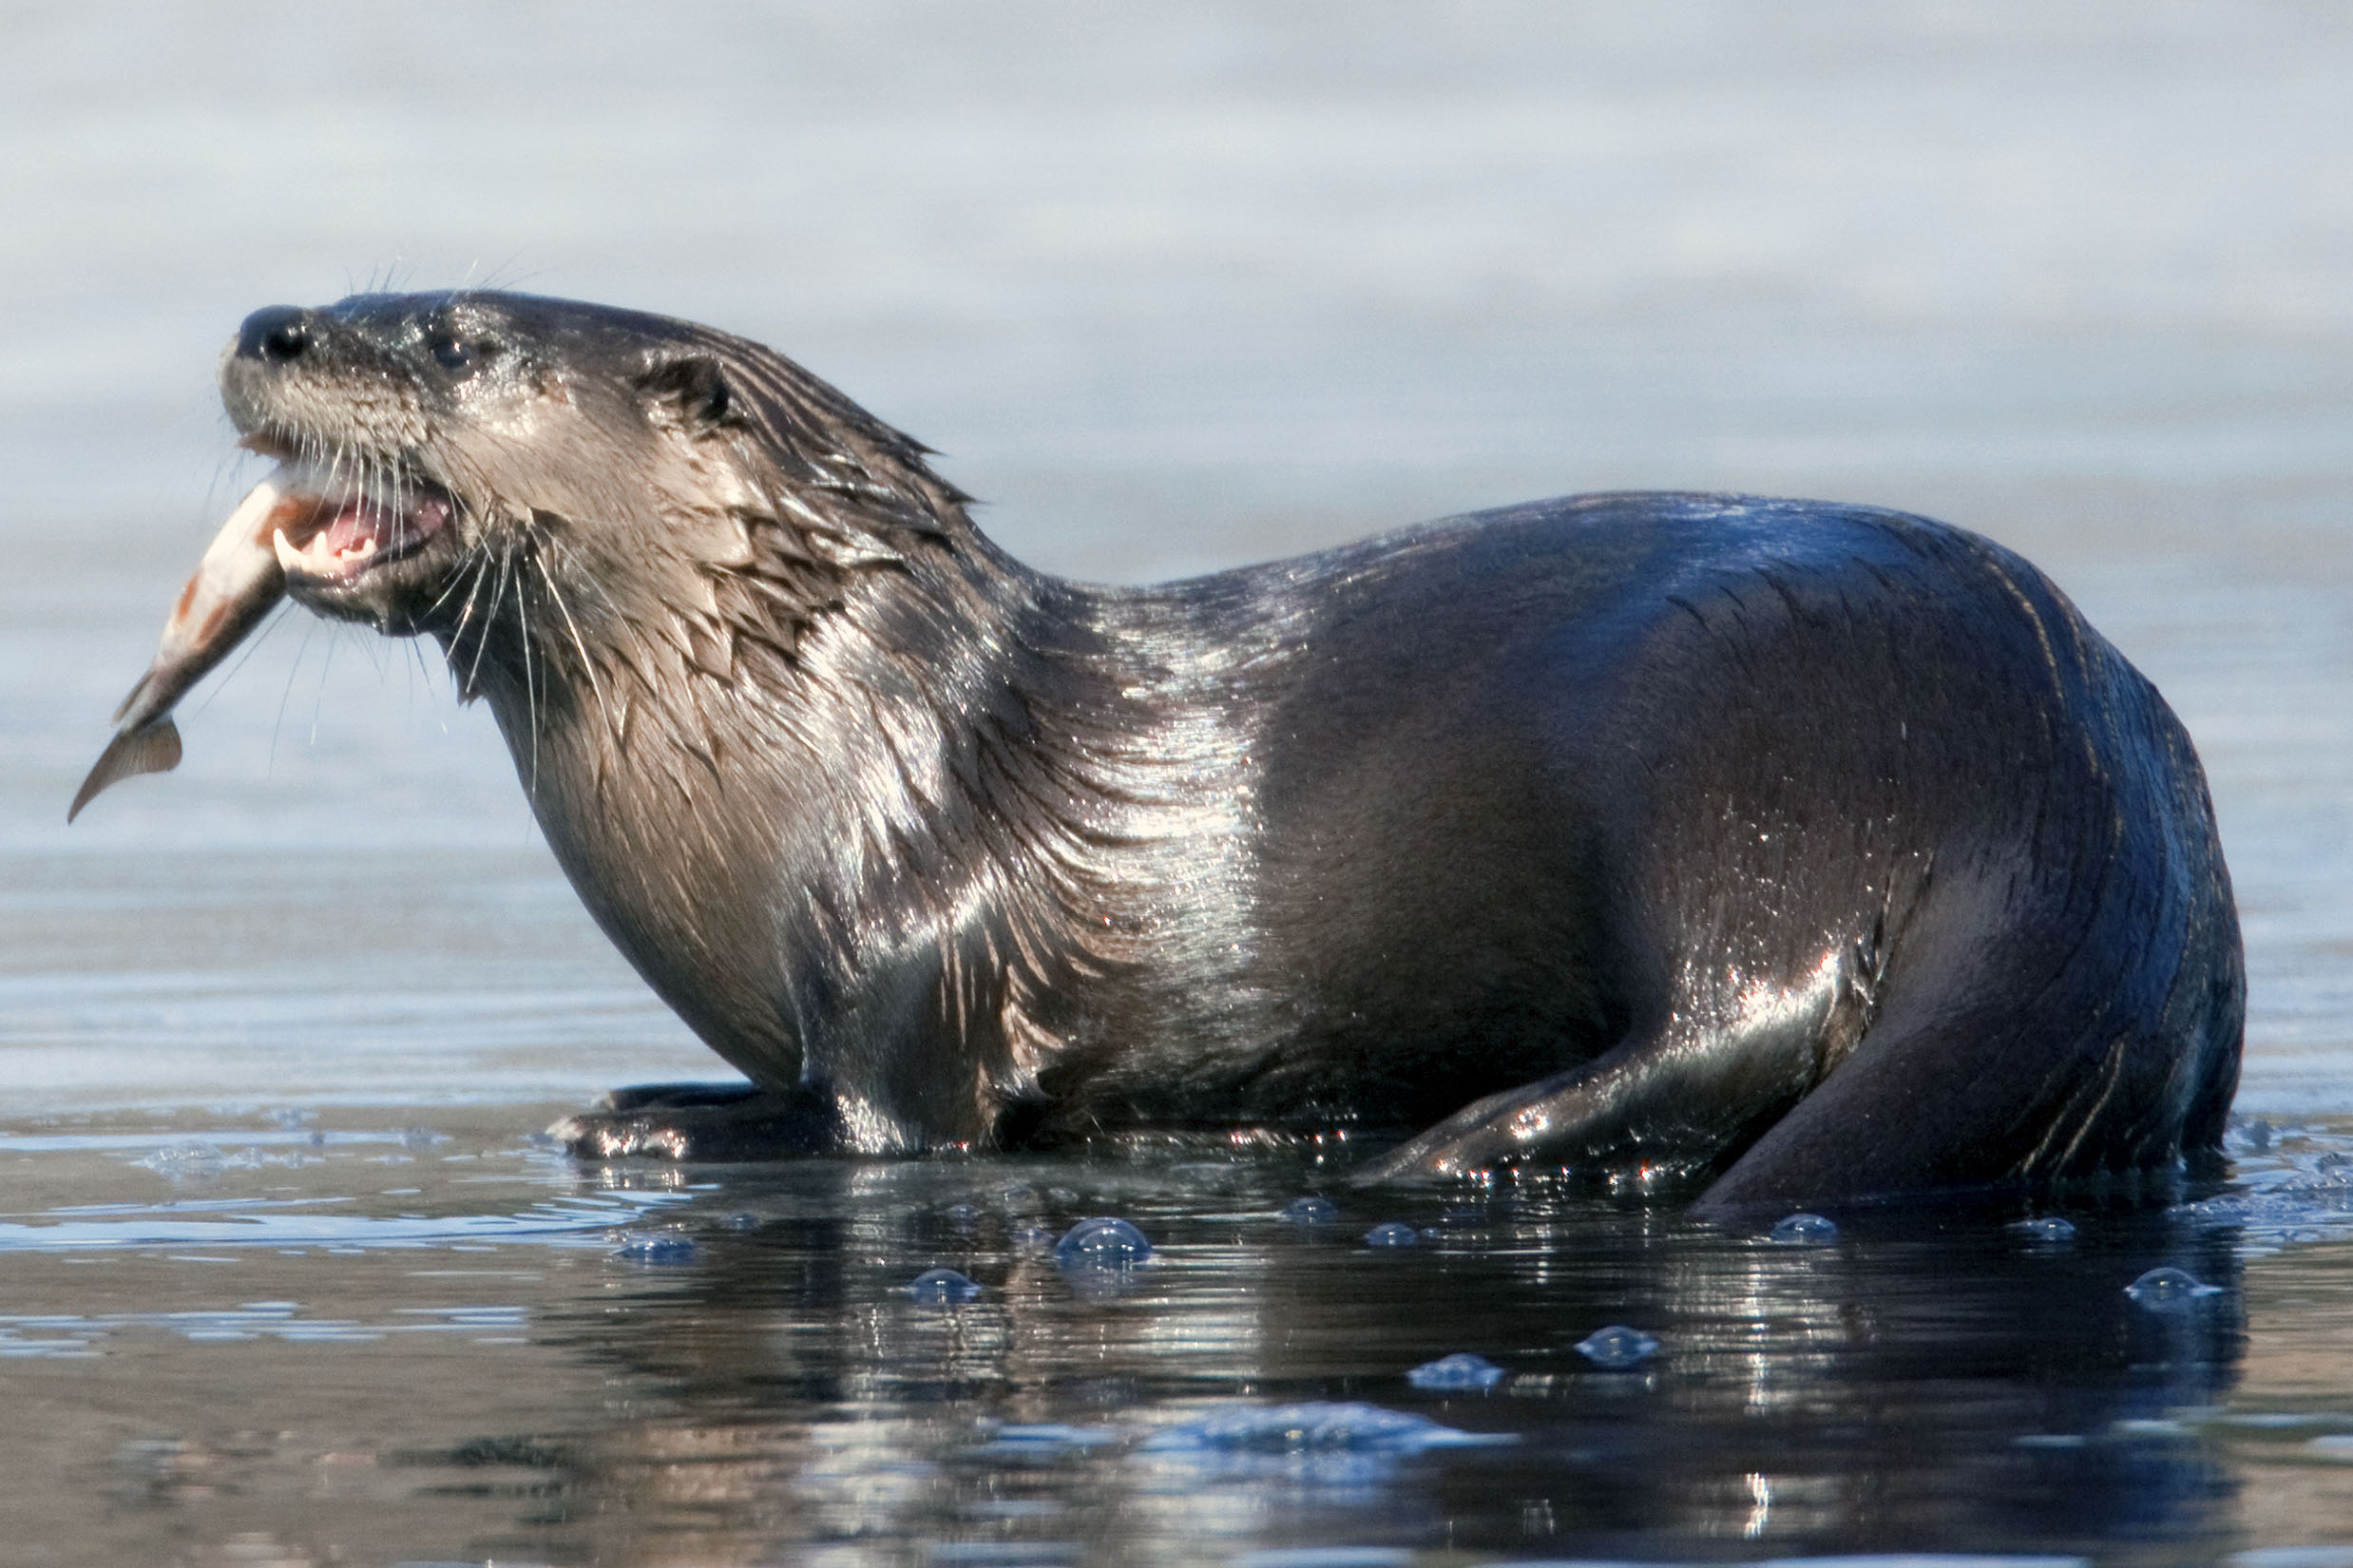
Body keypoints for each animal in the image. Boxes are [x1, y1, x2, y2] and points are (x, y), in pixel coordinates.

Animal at [73, 291, 2243, 1212]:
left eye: (450, 337)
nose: (274, 318)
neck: (826, 733)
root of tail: (2085, 789)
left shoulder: (913, 945)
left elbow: (882, 1126)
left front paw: (661, 1118)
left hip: (1743, 735)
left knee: (1751, 1007)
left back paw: (1462, 1140)